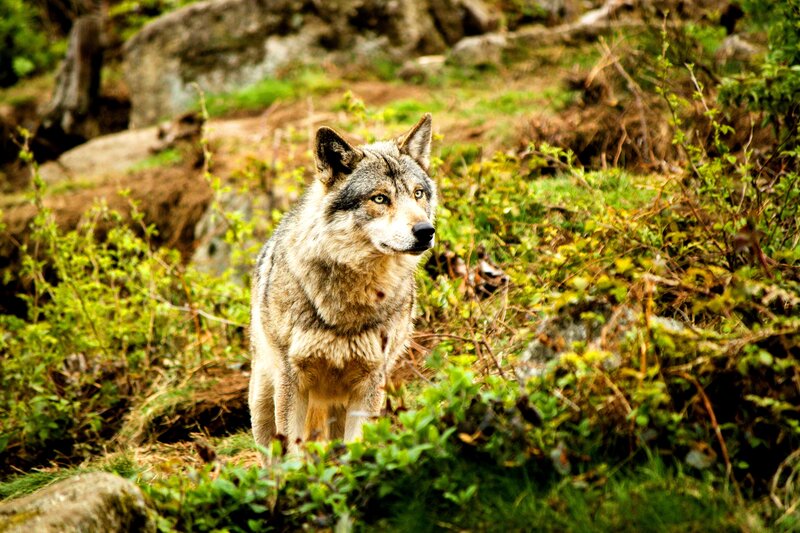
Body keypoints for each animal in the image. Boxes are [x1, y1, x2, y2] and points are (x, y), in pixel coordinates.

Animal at [249, 114, 437, 459]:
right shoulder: (292, 382)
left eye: (418, 193)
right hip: (263, 400)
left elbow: (358, 446)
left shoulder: (370, 383)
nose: (425, 230)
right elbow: (294, 454)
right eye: (380, 198)